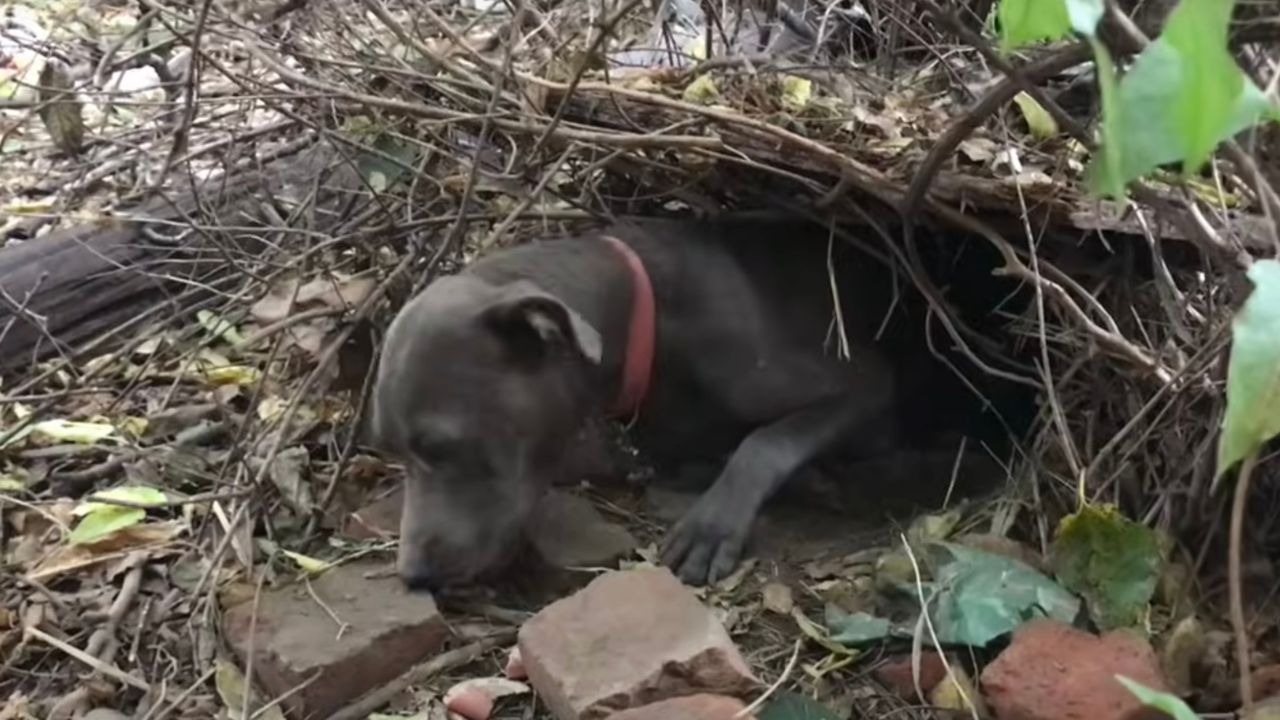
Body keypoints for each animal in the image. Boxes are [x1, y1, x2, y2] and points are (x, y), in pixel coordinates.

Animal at [371, 215, 906, 586]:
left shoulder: (868, 382)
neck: (647, 320)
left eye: (446, 447)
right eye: (392, 452)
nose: (413, 576)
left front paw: (712, 524)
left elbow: (764, 442)